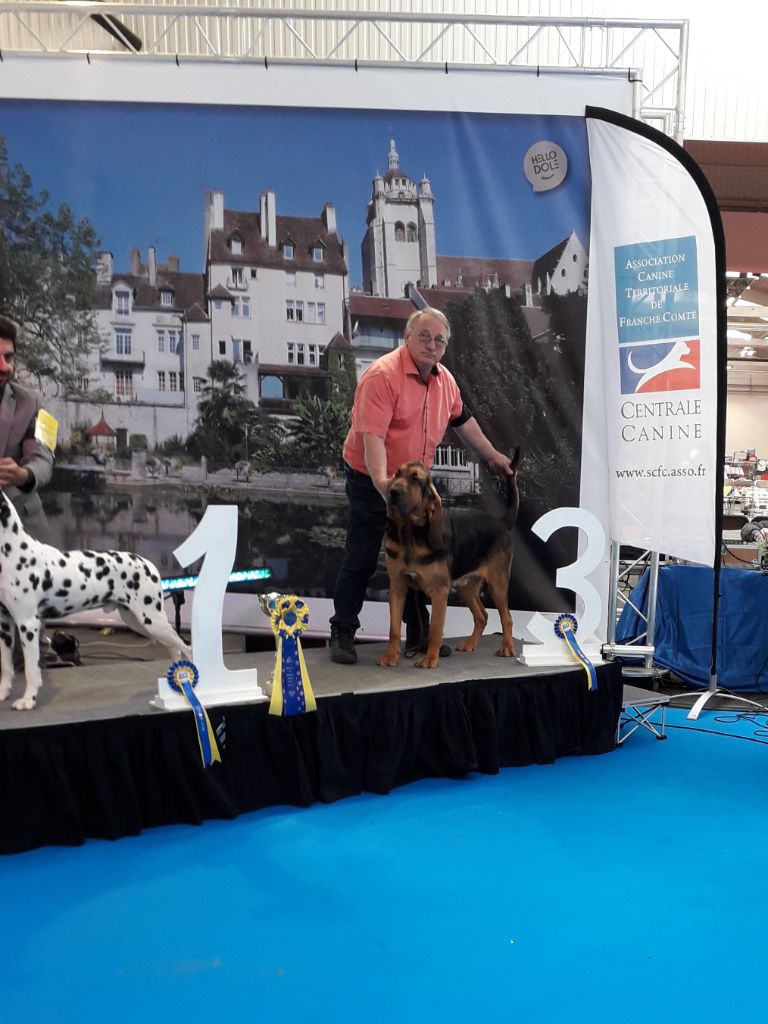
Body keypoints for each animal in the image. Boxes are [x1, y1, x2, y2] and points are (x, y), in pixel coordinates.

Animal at [0, 491, 191, 708]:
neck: (13, 552)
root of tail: (149, 564)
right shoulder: (5, 624)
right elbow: (6, 667)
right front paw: (3, 693)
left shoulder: (27, 624)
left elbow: (32, 670)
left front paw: (28, 700)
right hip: (137, 621)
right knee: (174, 648)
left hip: (151, 620)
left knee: (185, 647)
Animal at [380, 448, 524, 671]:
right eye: (397, 473)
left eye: (416, 479)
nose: (393, 492)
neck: (411, 535)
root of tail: (501, 522)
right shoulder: (397, 587)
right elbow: (394, 628)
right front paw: (390, 656)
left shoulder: (439, 592)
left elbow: (435, 629)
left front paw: (430, 659)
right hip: (466, 587)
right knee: (482, 616)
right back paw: (470, 644)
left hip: (497, 584)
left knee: (506, 617)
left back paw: (507, 647)